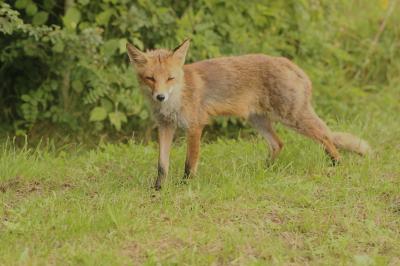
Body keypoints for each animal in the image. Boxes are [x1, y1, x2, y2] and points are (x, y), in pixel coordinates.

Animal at [126, 39, 370, 190]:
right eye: (150, 78)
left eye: (170, 78)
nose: (160, 97)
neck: (177, 98)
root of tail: (289, 63)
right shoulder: (166, 127)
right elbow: (162, 165)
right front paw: (158, 189)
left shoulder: (195, 127)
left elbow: (189, 163)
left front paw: (185, 186)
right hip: (258, 120)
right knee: (278, 143)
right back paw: (264, 170)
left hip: (292, 117)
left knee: (326, 137)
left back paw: (336, 165)